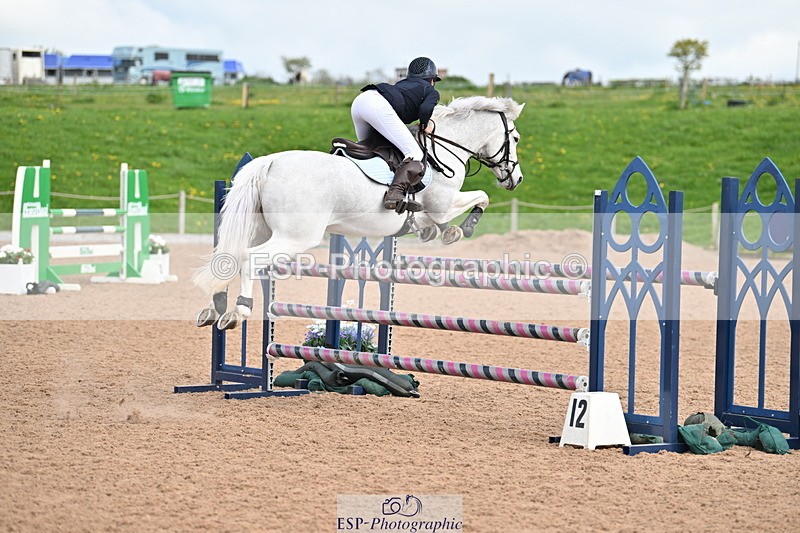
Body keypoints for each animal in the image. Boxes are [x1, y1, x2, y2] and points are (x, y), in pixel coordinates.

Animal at [193, 96, 525, 330]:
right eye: (516, 139)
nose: (517, 179)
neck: (442, 149)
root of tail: (269, 162)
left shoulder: (430, 209)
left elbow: (431, 220)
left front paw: (437, 231)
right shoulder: (443, 203)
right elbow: (480, 198)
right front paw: (461, 229)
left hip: (260, 229)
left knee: (230, 257)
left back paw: (215, 306)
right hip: (295, 237)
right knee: (250, 258)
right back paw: (238, 310)